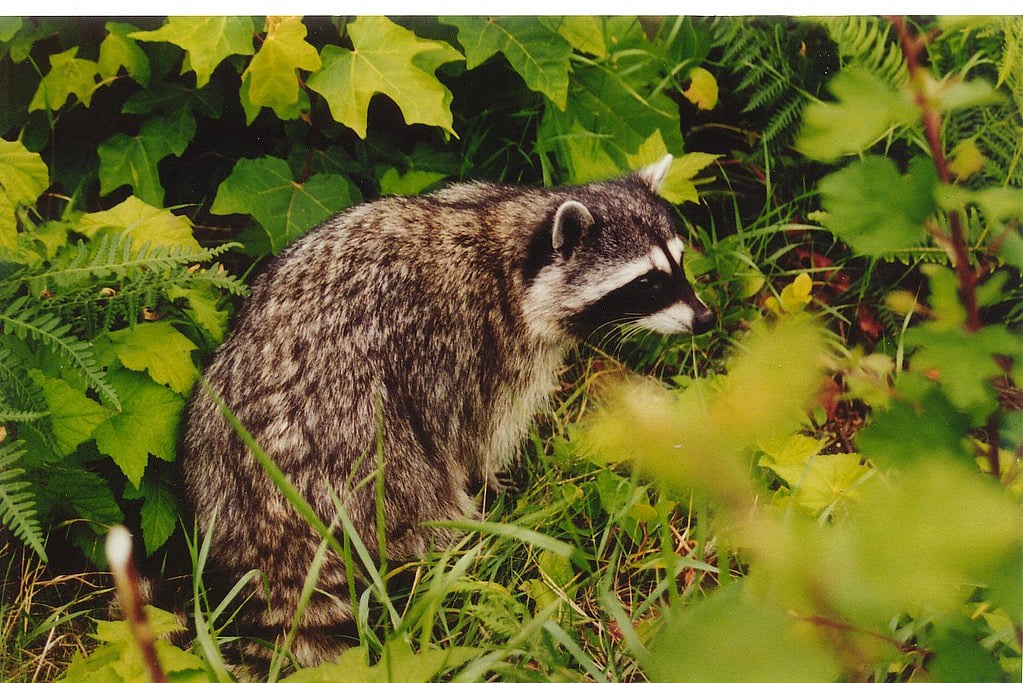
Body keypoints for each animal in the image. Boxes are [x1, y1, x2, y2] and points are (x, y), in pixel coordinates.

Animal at [179, 154, 715, 673]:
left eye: (680, 263)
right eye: (647, 283)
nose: (706, 319)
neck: (512, 241)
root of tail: (269, 529)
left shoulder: (467, 195)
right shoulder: (467, 340)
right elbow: (472, 430)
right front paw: (489, 478)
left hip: (213, 422)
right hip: (354, 447)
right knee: (418, 487)